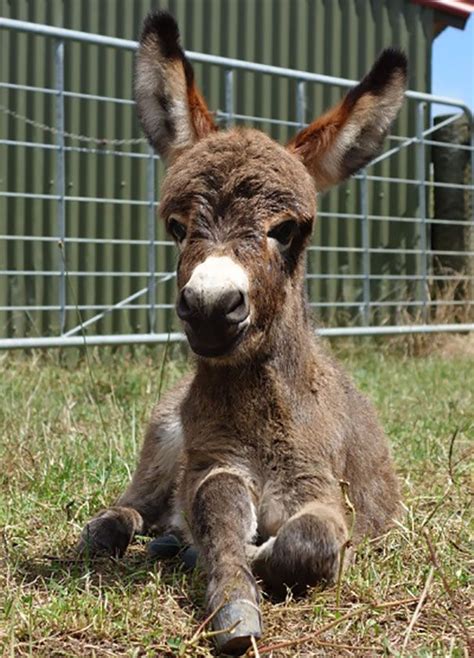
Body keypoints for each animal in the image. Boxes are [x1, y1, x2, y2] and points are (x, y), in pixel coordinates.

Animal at [78, 12, 408, 652]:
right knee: (133, 504)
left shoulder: (319, 487)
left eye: (288, 230)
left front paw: (236, 562)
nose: (210, 307)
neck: (258, 415)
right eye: (176, 226)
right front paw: (232, 598)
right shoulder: (214, 460)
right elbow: (217, 508)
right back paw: (121, 530)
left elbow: (311, 544)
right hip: (163, 433)